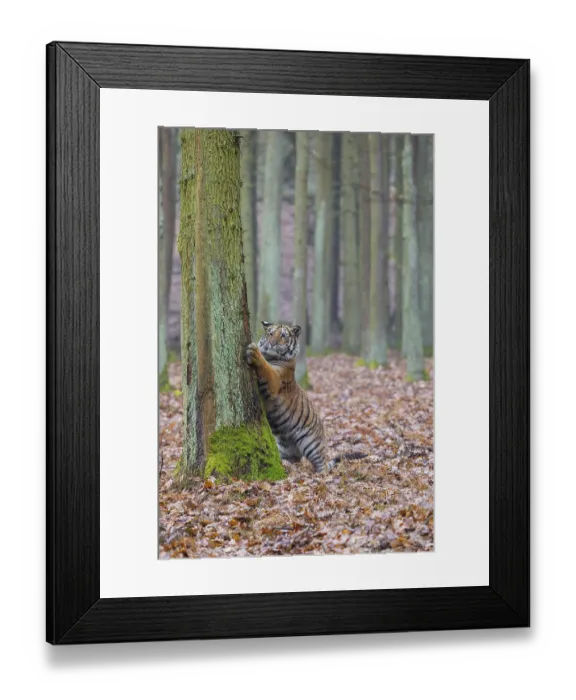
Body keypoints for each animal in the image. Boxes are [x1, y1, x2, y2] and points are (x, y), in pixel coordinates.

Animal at [246, 321, 366, 473]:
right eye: (270, 333)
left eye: (283, 335)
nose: (272, 343)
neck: (270, 356)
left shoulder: (274, 379)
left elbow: (266, 368)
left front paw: (254, 351)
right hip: (284, 449)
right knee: (294, 461)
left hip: (311, 445)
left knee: (322, 465)